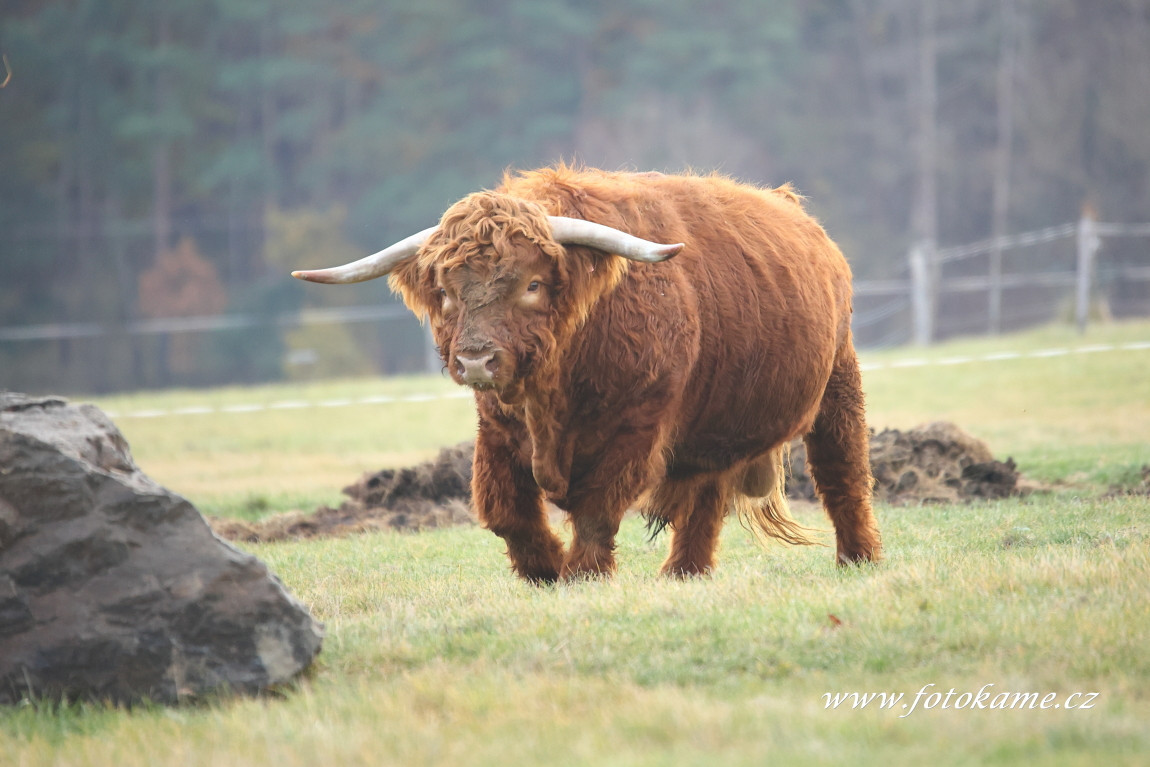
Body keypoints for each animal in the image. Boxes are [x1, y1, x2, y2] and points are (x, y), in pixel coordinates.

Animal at [294, 165, 878, 579]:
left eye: (532, 284)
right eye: (445, 290)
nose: (476, 360)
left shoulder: (636, 426)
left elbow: (597, 507)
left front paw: (581, 573)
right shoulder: (497, 429)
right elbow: (504, 509)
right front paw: (544, 569)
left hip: (839, 381)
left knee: (842, 473)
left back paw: (860, 557)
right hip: (717, 422)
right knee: (706, 497)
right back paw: (684, 572)